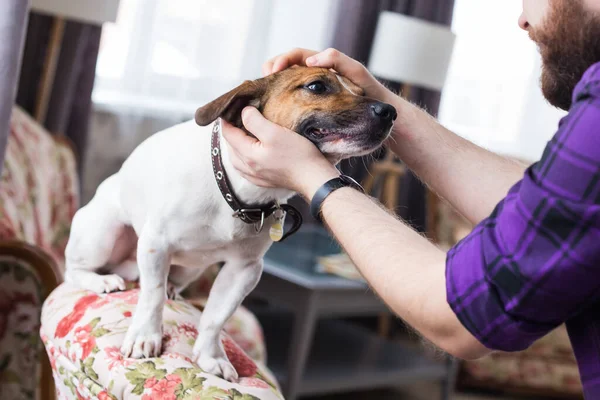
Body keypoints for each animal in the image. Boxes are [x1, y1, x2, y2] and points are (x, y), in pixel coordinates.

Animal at [63, 65, 396, 382]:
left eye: (362, 90)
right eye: (317, 86)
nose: (390, 111)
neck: (237, 190)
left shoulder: (244, 269)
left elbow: (215, 317)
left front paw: (211, 356)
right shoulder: (156, 245)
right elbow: (152, 297)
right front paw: (146, 335)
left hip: (192, 267)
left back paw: (170, 286)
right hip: (102, 235)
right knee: (74, 271)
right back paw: (101, 281)